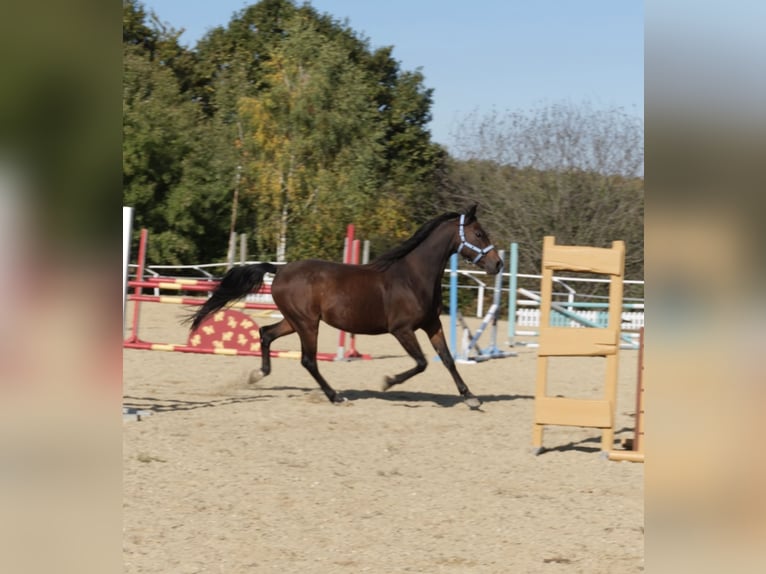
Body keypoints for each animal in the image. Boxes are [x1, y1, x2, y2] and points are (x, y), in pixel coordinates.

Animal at [189, 204, 503, 408]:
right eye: (479, 234)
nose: (498, 264)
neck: (413, 276)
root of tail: (280, 270)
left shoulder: (432, 325)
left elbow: (447, 359)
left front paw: (471, 398)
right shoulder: (402, 330)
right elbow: (422, 362)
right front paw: (387, 381)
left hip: (295, 321)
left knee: (266, 333)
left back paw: (259, 374)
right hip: (307, 324)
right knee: (308, 360)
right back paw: (335, 396)